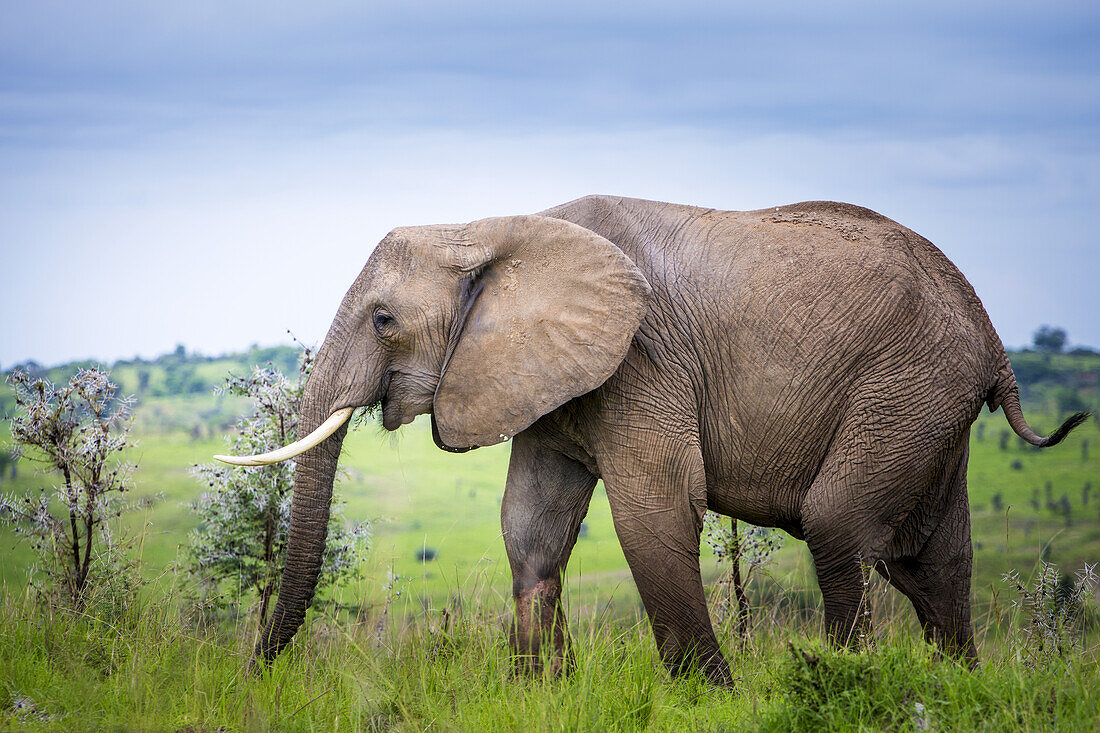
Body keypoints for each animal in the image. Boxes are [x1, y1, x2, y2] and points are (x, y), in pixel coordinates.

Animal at [218, 191, 1086, 682]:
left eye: (384, 320)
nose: (252, 676)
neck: (489, 226)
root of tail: (994, 342)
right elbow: (530, 527)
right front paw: (540, 693)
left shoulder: (643, 359)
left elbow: (653, 514)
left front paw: (713, 697)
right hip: (930, 402)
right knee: (934, 561)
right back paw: (960, 688)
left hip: (905, 386)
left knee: (840, 526)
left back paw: (851, 680)